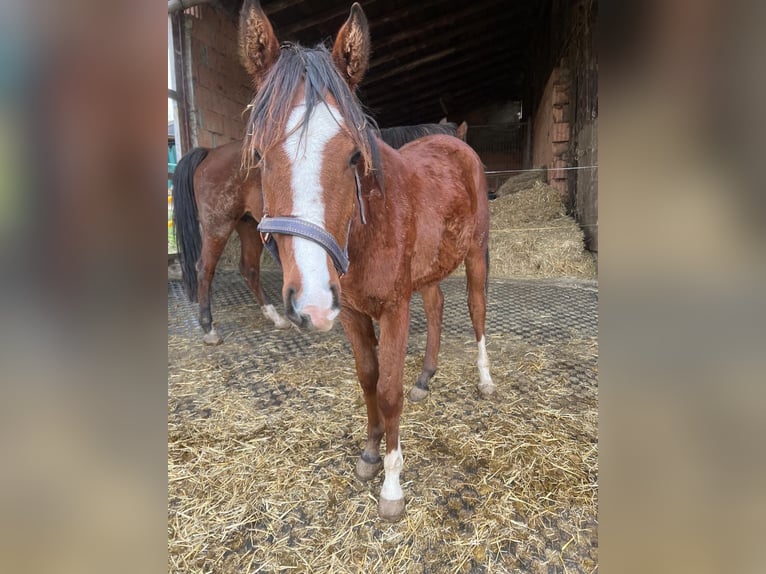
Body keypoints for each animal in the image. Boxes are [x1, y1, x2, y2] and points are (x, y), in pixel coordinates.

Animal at [172, 125, 467, 346]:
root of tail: (210, 152)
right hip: (218, 225)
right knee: (204, 269)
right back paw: (209, 328)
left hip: (248, 225)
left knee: (249, 269)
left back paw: (275, 317)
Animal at [239, 0, 494, 521]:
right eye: (258, 153)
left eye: (355, 155)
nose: (312, 302)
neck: (366, 227)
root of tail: (457, 143)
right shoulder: (353, 313)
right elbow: (369, 380)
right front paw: (371, 455)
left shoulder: (393, 309)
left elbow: (389, 389)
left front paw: (392, 486)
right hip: (429, 270)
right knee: (437, 307)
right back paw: (426, 378)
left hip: (476, 255)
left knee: (477, 311)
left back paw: (484, 381)